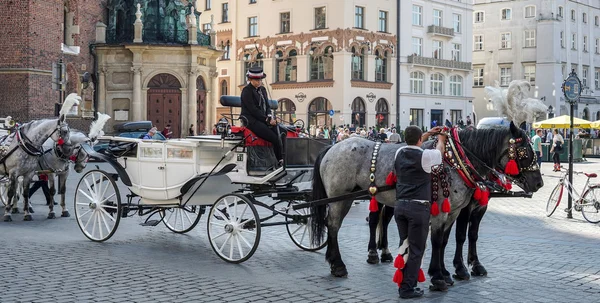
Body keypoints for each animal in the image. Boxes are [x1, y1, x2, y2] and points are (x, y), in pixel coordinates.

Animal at [310, 122, 544, 290]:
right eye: (524, 151)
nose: (539, 183)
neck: (454, 160)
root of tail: (332, 147)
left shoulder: (455, 211)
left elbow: (449, 240)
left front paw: (448, 273)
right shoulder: (445, 211)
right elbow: (441, 240)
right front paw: (441, 275)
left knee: (363, 222)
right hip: (340, 197)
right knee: (335, 225)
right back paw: (340, 264)